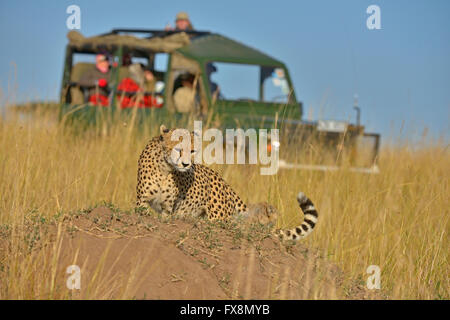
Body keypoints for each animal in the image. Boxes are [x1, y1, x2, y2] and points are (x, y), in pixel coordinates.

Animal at [135, 125, 318, 240]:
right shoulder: (142, 203)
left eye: (192, 151)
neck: (165, 167)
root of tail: (224, 182)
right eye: (178, 149)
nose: (186, 165)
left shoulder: (168, 209)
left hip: (217, 216)